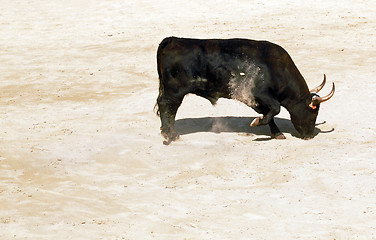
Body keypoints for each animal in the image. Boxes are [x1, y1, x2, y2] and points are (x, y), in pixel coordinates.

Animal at [156, 36, 334, 143]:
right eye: (313, 112)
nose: (309, 136)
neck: (277, 69)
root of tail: (171, 40)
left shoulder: (255, 100)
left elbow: (268, 114)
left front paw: (277, 133)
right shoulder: (260, 94)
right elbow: (275, 109)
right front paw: (257, 123)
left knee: (168, 108)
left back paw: (169, 132)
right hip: (174, 91)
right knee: (167, 107)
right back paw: (171, 135)